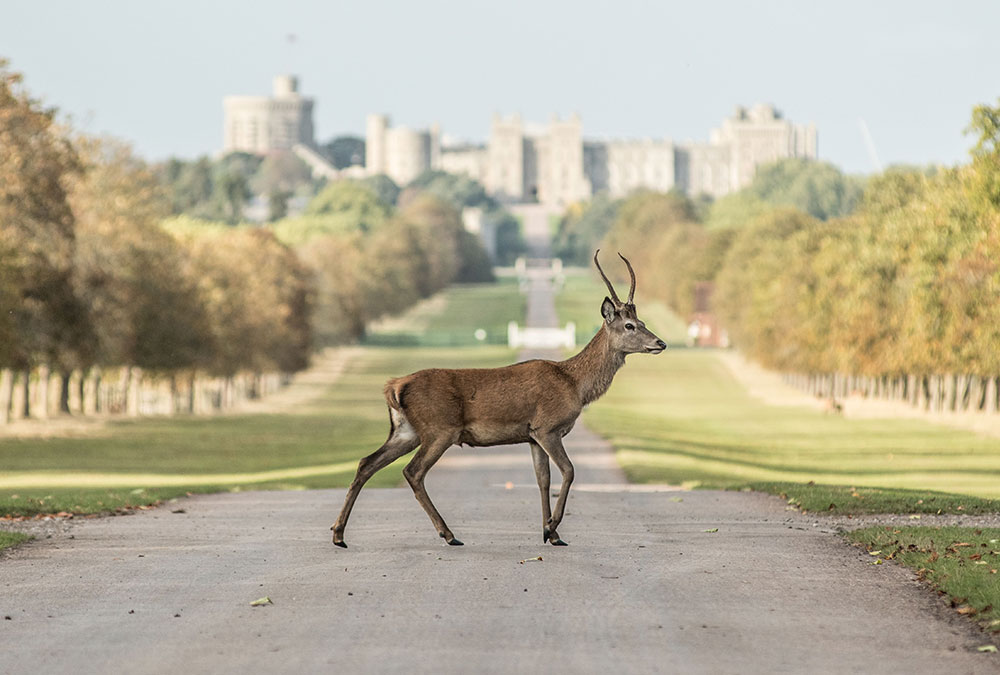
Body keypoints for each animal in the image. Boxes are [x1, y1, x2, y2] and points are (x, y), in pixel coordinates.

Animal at [332, 251, 668, 548]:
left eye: (643, 322)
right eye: (629, 325)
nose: (660, 343)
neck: (574, 384)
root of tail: (394, 386)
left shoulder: (532, 435)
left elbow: (543, 479)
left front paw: (550, 534)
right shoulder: (547, 427)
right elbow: (569, 470)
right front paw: (552, 527)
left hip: (406, 430)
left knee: (366, 463)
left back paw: (339, 535)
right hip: (439, 428)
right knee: (412, 472)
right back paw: (449, 535)